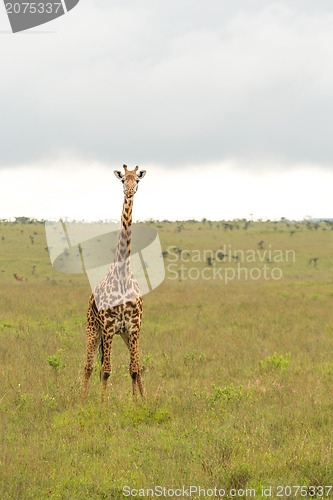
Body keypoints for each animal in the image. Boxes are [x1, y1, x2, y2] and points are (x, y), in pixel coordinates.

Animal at [81, 164, 146, 402]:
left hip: (125, 335)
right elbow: (105, 371)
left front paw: (138, 404)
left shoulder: (134, 327)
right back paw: (81, 402)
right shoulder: (108, 328)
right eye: (123, 180)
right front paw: (102, 406)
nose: (129, 190)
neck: (123, 276)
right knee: (89, 367)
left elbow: (134, 369)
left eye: (137, 179)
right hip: (92, 328)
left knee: (138, 366)